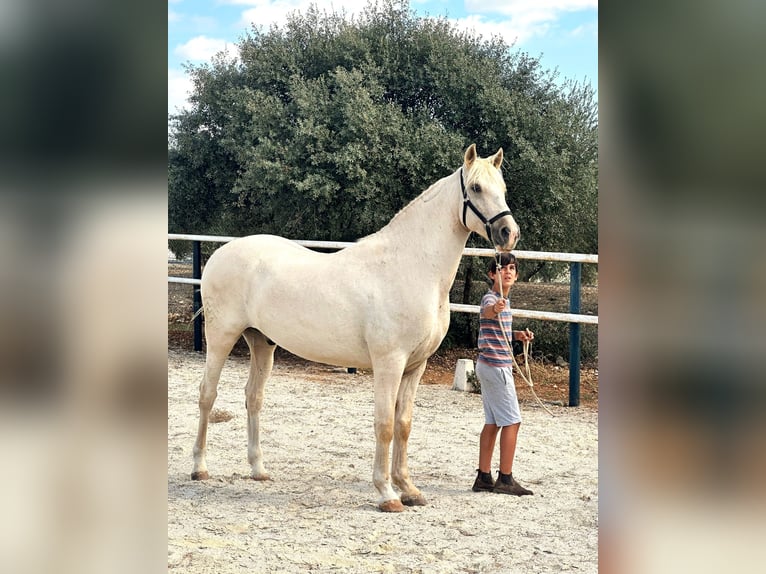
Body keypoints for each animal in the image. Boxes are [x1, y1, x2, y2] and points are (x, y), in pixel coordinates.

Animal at [192, 144, 520, 512]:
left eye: (502, 188)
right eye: (476, 188)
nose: (509, 233)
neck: (411, 267)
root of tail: (220, 253)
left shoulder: (415, 367)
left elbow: (404, 425)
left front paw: (408, 489)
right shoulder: (389, 363)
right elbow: (385, 425)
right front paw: (387, 494)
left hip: (262, 343)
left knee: (254, 398)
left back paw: (258, 469)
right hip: (221, 337)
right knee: (207, 394)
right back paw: (199, 467)